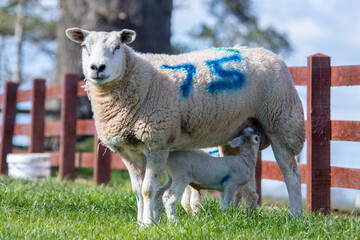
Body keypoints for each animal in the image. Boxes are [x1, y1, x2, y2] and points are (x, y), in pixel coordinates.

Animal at [66, 28, 306, 225]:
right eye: (84, 46)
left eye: (117, 47)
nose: (97, 68)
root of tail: (272, 54)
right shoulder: (128, 150)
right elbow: (137, 190)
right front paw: (141, 222)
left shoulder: (157, 141)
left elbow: (148, 189)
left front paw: (149, 224)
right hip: (238, 131)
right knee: (242, 175)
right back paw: (242, 214)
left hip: (282, 122)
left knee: (291, 174)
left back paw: (295, 216)